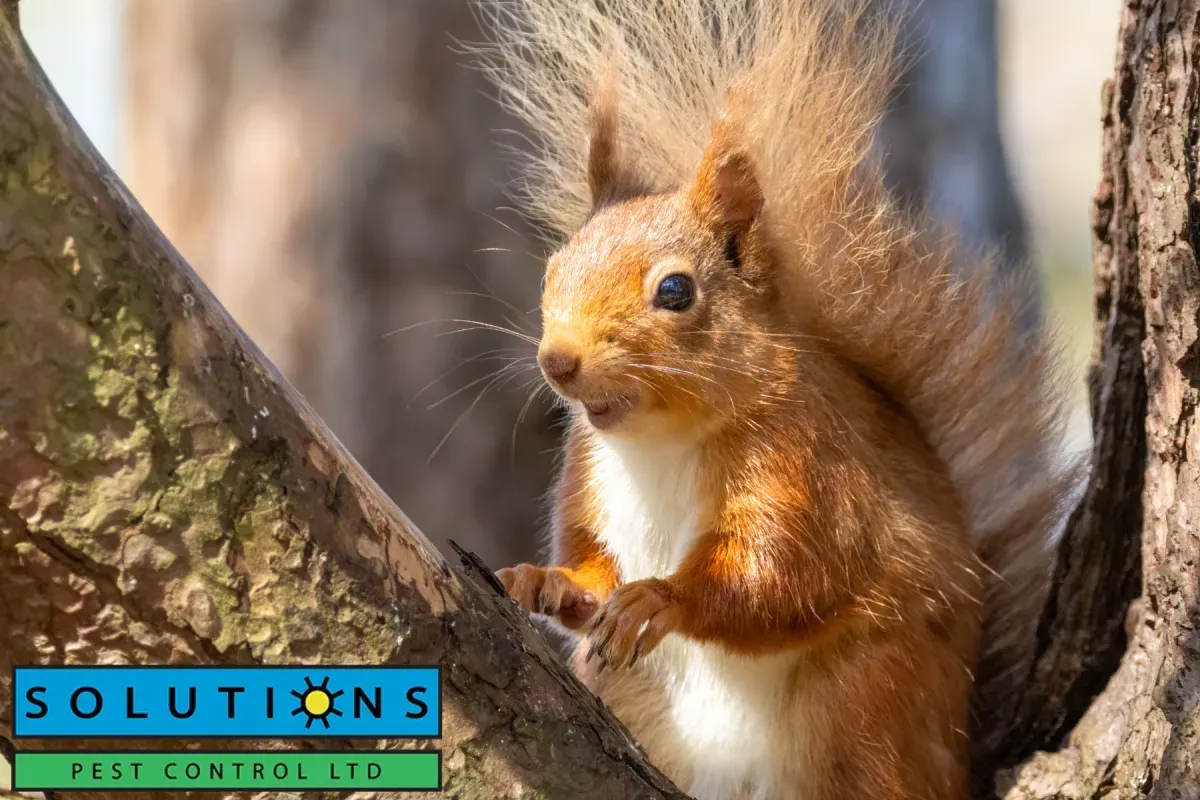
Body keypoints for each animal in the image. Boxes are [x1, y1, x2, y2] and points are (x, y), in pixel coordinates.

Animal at [470, 1, 1081, 798]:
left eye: (675, 291)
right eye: (553, 268)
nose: (558, 362)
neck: (659, 444)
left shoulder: (810, 470)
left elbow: (784, 579)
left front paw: (661, 598)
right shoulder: (587, 475)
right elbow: (593, 568)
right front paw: (541, 580)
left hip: (862, 705)